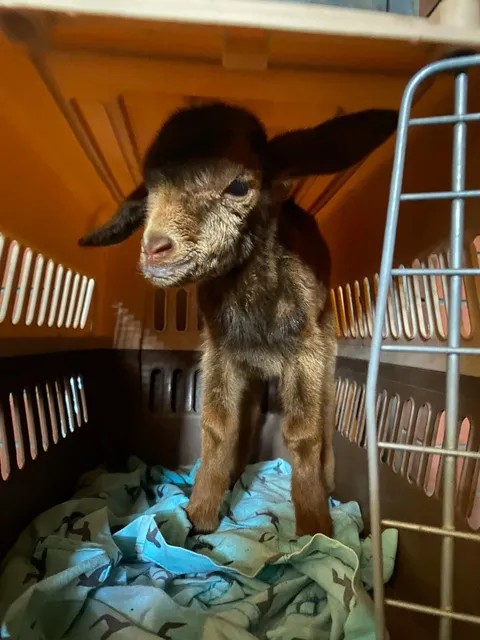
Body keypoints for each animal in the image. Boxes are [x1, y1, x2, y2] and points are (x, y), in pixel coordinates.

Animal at [79, 103, 397, 537]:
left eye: (238, 187)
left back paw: (328, 479)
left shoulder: (305, 354)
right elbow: (219, 427)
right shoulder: (221, 354)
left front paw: (314, 523)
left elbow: (303, 434)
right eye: (149, 191)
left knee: (327, 413)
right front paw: (199, 513)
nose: (155, 248)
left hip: (327, 345)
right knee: (248, 419)